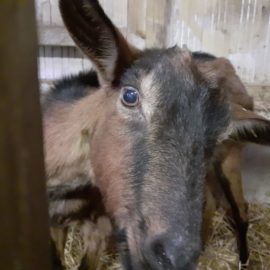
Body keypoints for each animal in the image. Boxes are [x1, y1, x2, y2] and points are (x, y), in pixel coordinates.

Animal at [42, 1, 270, 268]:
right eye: (130, 95)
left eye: (217, 136)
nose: (174, 255)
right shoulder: (53, 224)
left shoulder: (100, 224)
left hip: (230, 160)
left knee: (240, 209)